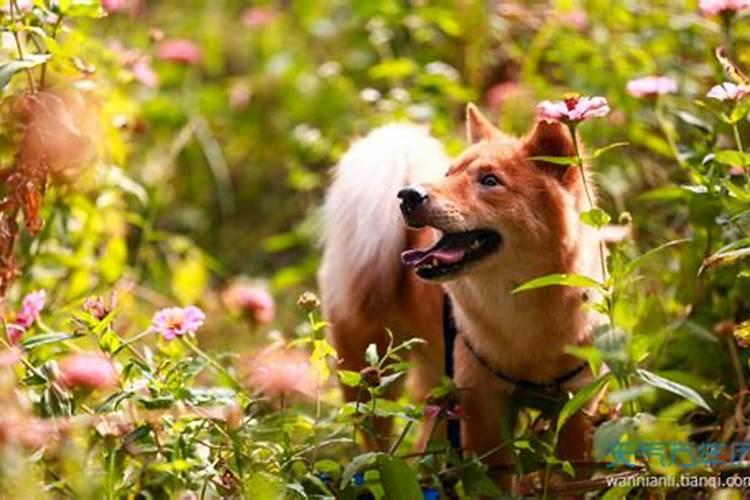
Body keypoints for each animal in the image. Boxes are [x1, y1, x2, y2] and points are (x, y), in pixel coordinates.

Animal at [318, 104, 604, 484]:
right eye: (448, 173)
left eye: (490, 181)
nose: (408, 195)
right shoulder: (483, 411)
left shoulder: (578, 406)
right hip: (371, 380)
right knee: (374, 445)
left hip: (437, 388)